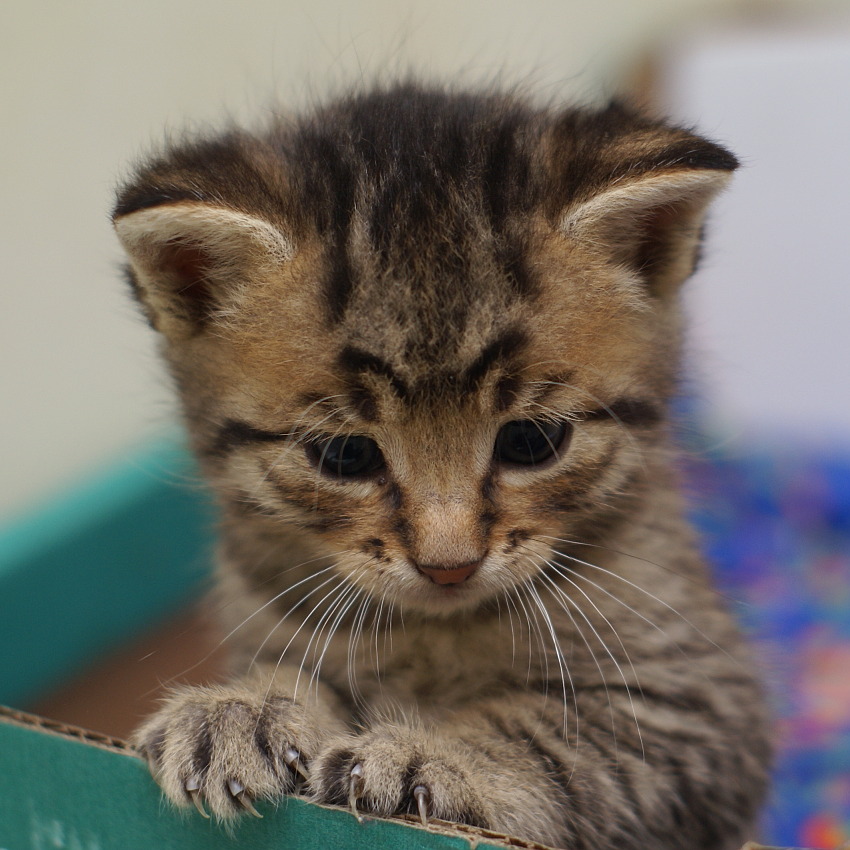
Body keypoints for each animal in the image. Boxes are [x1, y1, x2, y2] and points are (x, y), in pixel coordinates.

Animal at [116, 84, 772, 848]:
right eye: (343, 454)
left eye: (532, 442)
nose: (449, 565)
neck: (434, 631)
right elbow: (298, 664)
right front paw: (241, 710)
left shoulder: (699, 700)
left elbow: (558, 734)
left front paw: (431, 757)